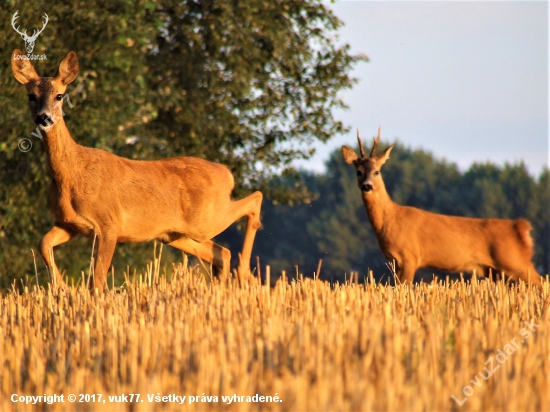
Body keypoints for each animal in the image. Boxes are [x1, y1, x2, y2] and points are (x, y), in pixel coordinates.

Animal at [11, 50, 264, 292]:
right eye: (31, 96)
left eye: (60, 95)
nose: (44, 118)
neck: (71, 175)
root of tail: (226, 174)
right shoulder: (68, 223)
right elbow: (43, 244)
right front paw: (61, 288)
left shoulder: (109, 224)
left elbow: (97, 280)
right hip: (173, 235)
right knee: (222, 253)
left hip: (206, 219)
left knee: (255, 199)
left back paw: (244, 274)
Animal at [342, 129, 544, 286]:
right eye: (359, 172)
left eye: (377, 171)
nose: (367, 186)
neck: (388, 221)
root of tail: (520, 226)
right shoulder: (395, 261)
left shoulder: (410, 257)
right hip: (495, 270)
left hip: (514, 260)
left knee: (541, 282)